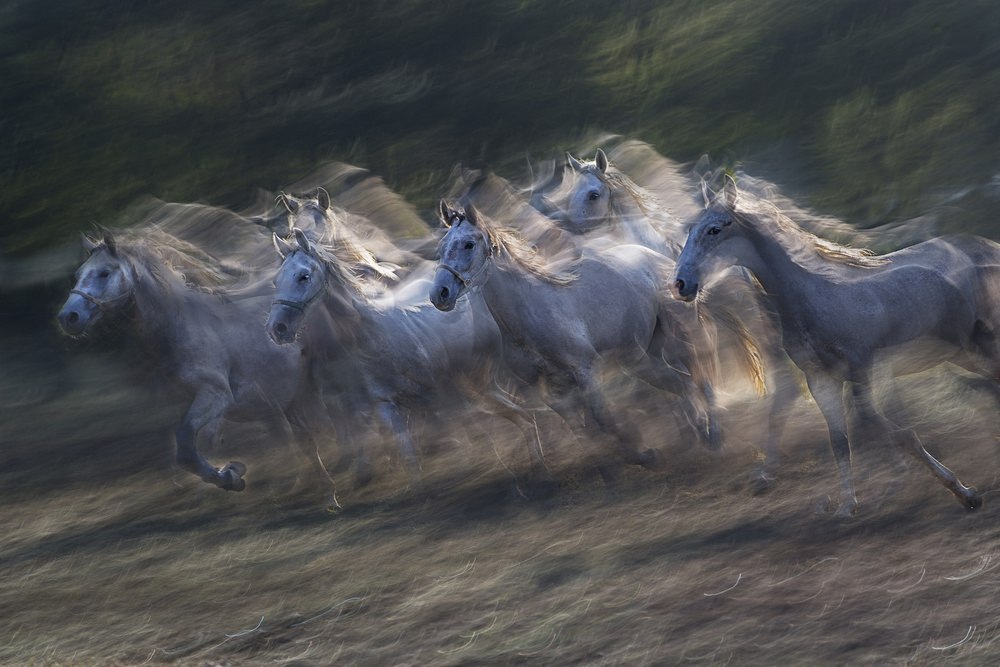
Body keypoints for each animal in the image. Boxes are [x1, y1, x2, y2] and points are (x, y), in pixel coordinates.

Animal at [58, 230, 340, 512]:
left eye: (104, 273)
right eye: (79, 274)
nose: (68, 317)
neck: (185, 328)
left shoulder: (216, 398)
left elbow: (186, 446)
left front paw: (231, 476)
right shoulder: (210, 405)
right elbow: (203, 444)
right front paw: (221, 479)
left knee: (327, 423)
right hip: (291, 397)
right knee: (305, 437)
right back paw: (316, 487)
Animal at [430, 201, 764, 488]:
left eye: (468, 244)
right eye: (441, 249)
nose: (439, 294)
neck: (531, 314)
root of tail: (662, 262)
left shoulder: (586, 372)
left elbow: (601, 421)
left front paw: (644, 453)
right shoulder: (549, 391)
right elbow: (584, 432)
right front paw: (611, 472)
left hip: (684, 338)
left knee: (704, 382)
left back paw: (716, 444)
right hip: (642, 359)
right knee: (682, 383)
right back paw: (699, 437)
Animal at [672, 176, 1000, 516]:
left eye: (714, 230)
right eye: (691, 230)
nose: (679, 285)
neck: (818, 299)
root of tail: (989, 246)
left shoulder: (870, 371)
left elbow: (897, 432)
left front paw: (965, 493)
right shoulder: (822, 381)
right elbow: (841, 440)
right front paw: (847, 506)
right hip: (965, 352)